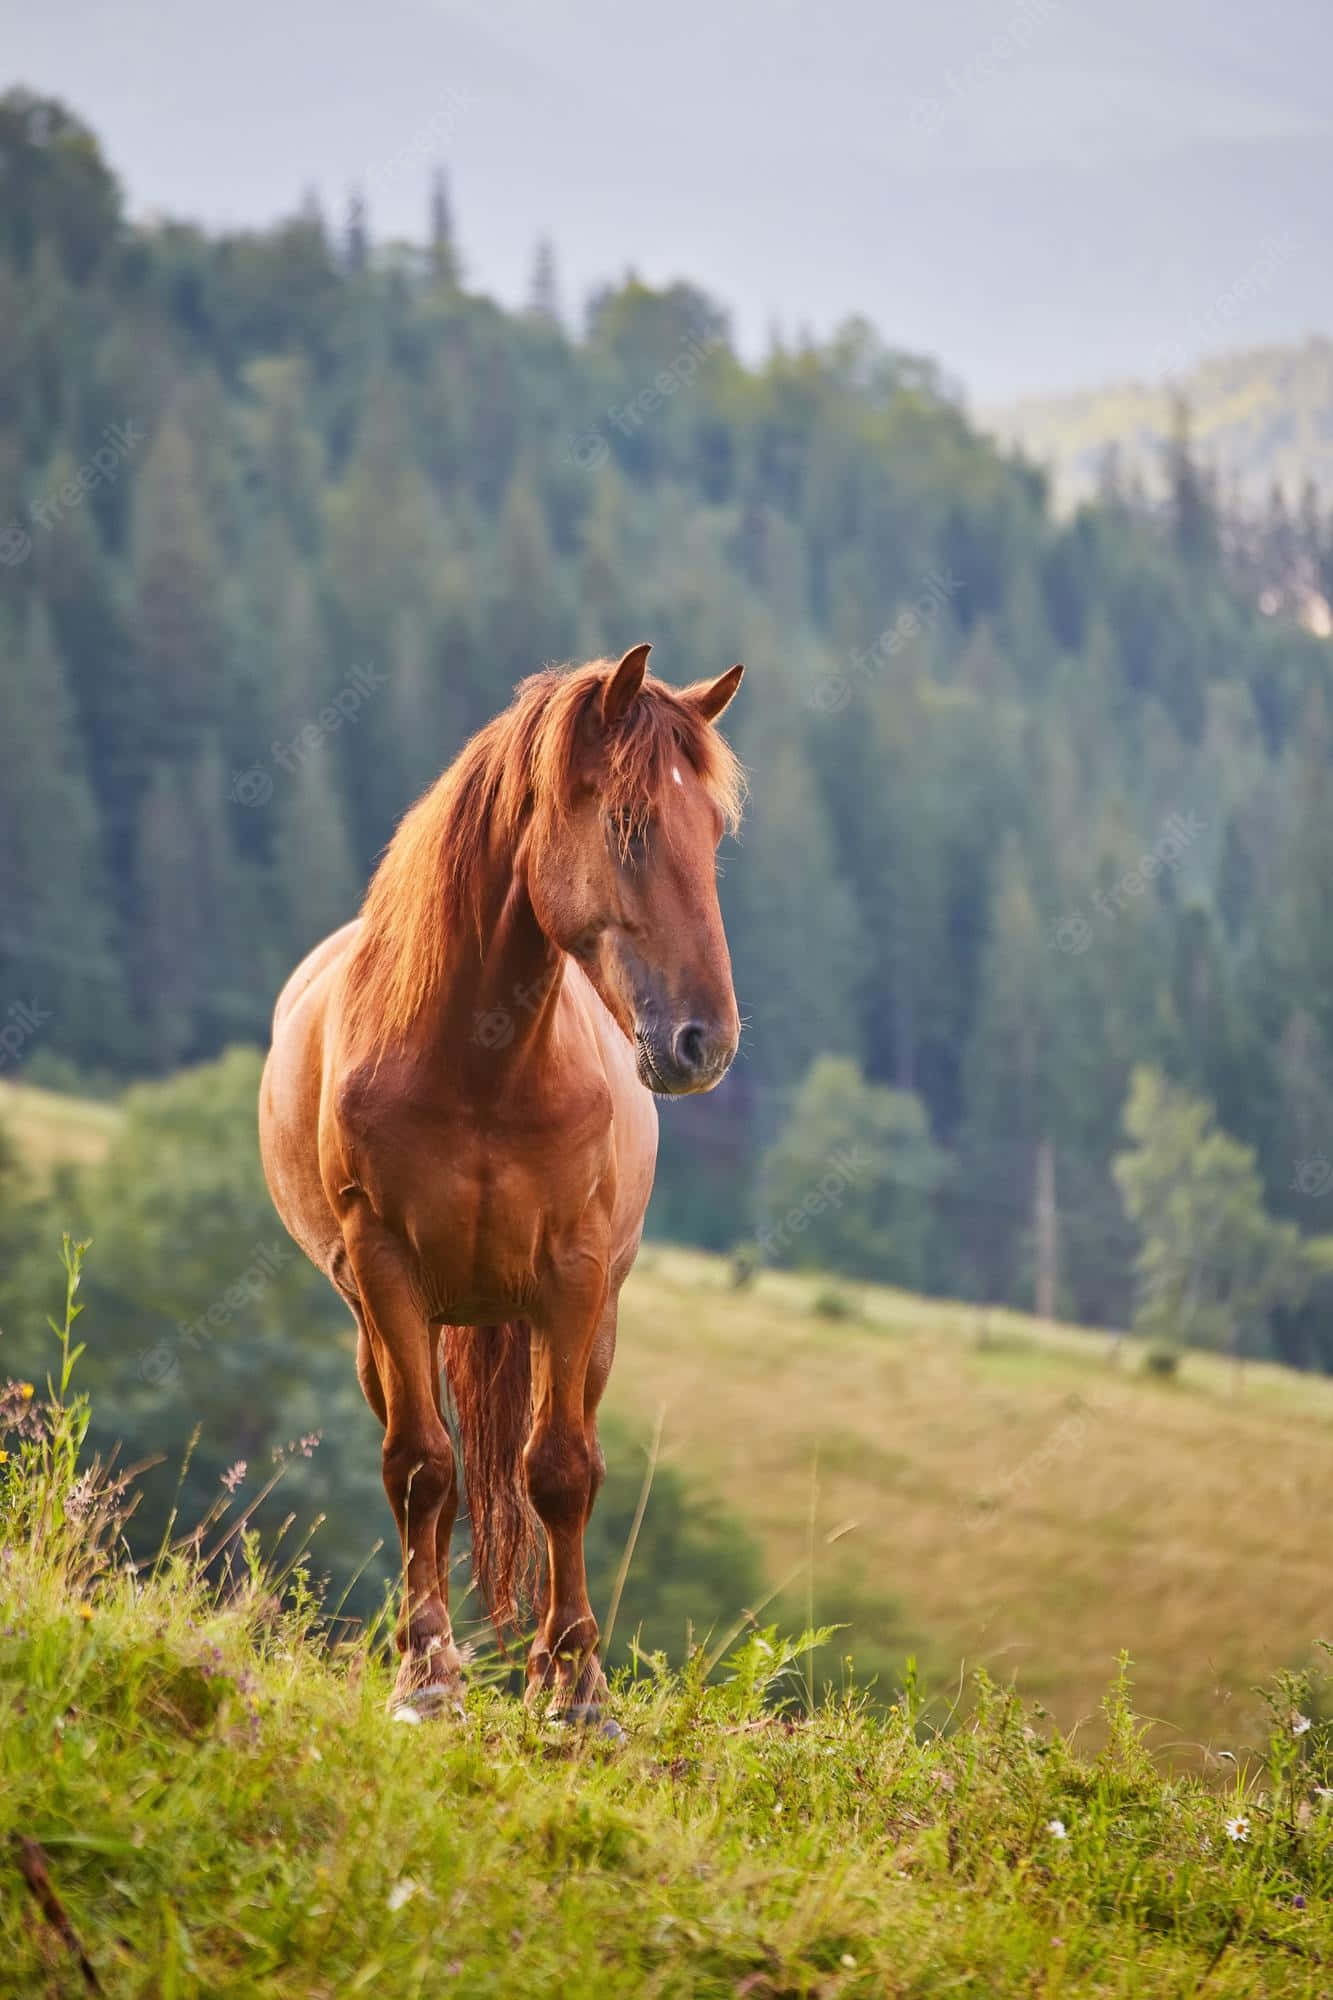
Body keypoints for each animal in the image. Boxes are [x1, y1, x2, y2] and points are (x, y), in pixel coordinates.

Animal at [258, 644, 746, 1725]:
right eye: (629, 825)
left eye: (715, 834)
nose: (707, 1043)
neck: (479, 1065)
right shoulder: (387, 1269)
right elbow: (420, 1467)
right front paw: (427, 1675)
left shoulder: (572, 1274)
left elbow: (559, 1472)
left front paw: (576, 1689)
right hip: (386, 1324)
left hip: (588, 1322)